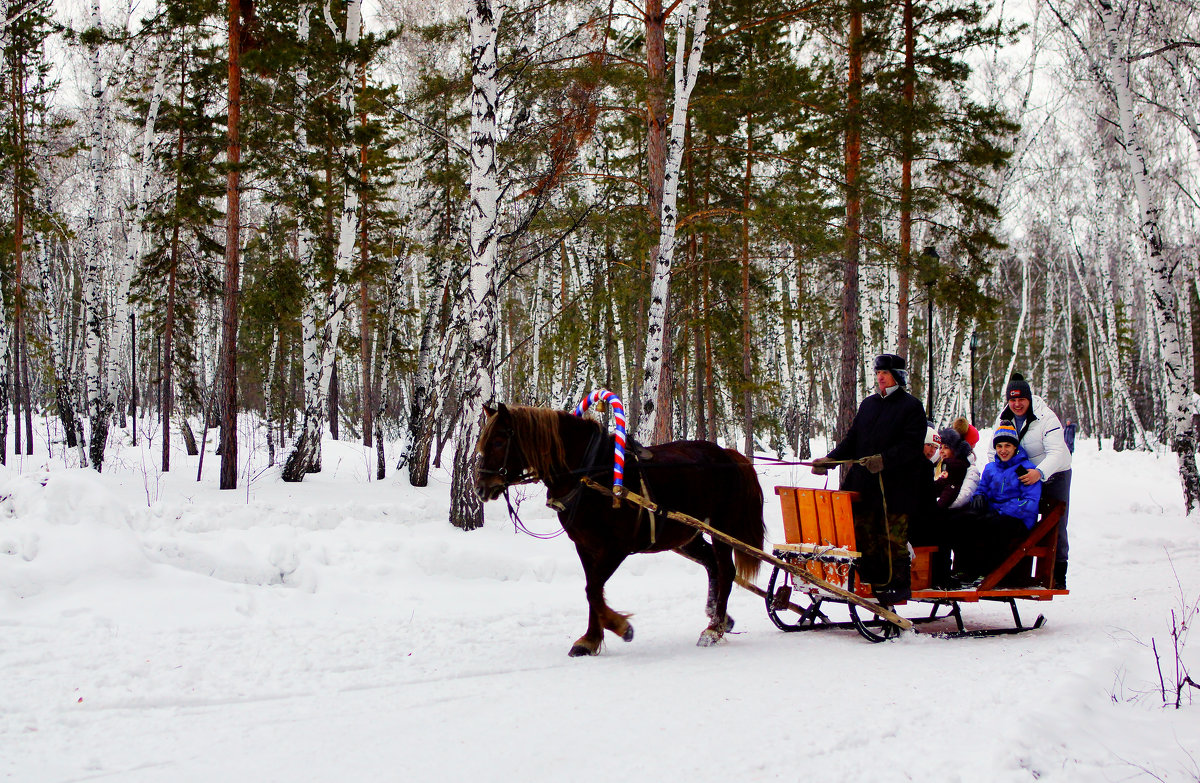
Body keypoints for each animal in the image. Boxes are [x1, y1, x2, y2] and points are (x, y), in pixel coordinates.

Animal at [472, 403, 763, 653]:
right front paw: (590, 639)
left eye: (498, 441)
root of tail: (728, 455)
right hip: (685, 534)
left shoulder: (616, 548)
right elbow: (593, 590)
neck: (591, 474)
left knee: (726, 570)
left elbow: (593, 589)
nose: (481, 488)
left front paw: (620, 626)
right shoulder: (585, 546)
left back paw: (714, 629)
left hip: (722, 528)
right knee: (712, 565)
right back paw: (719, 617)